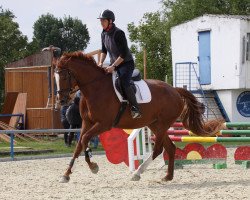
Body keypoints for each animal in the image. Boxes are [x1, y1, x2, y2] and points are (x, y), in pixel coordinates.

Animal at [55, 51, 225, 183]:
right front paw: (66, 174)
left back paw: (137, 173)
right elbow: (78, 146)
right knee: (170, 148)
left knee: (158, 149)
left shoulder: (103, 124)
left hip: (162, 125)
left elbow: (84, 140)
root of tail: (174, 90)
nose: (61, 101)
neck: (94, 88)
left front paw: (93, 167)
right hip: (154, 125)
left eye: (63, 76)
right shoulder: (86, 123)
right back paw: (167, 176)